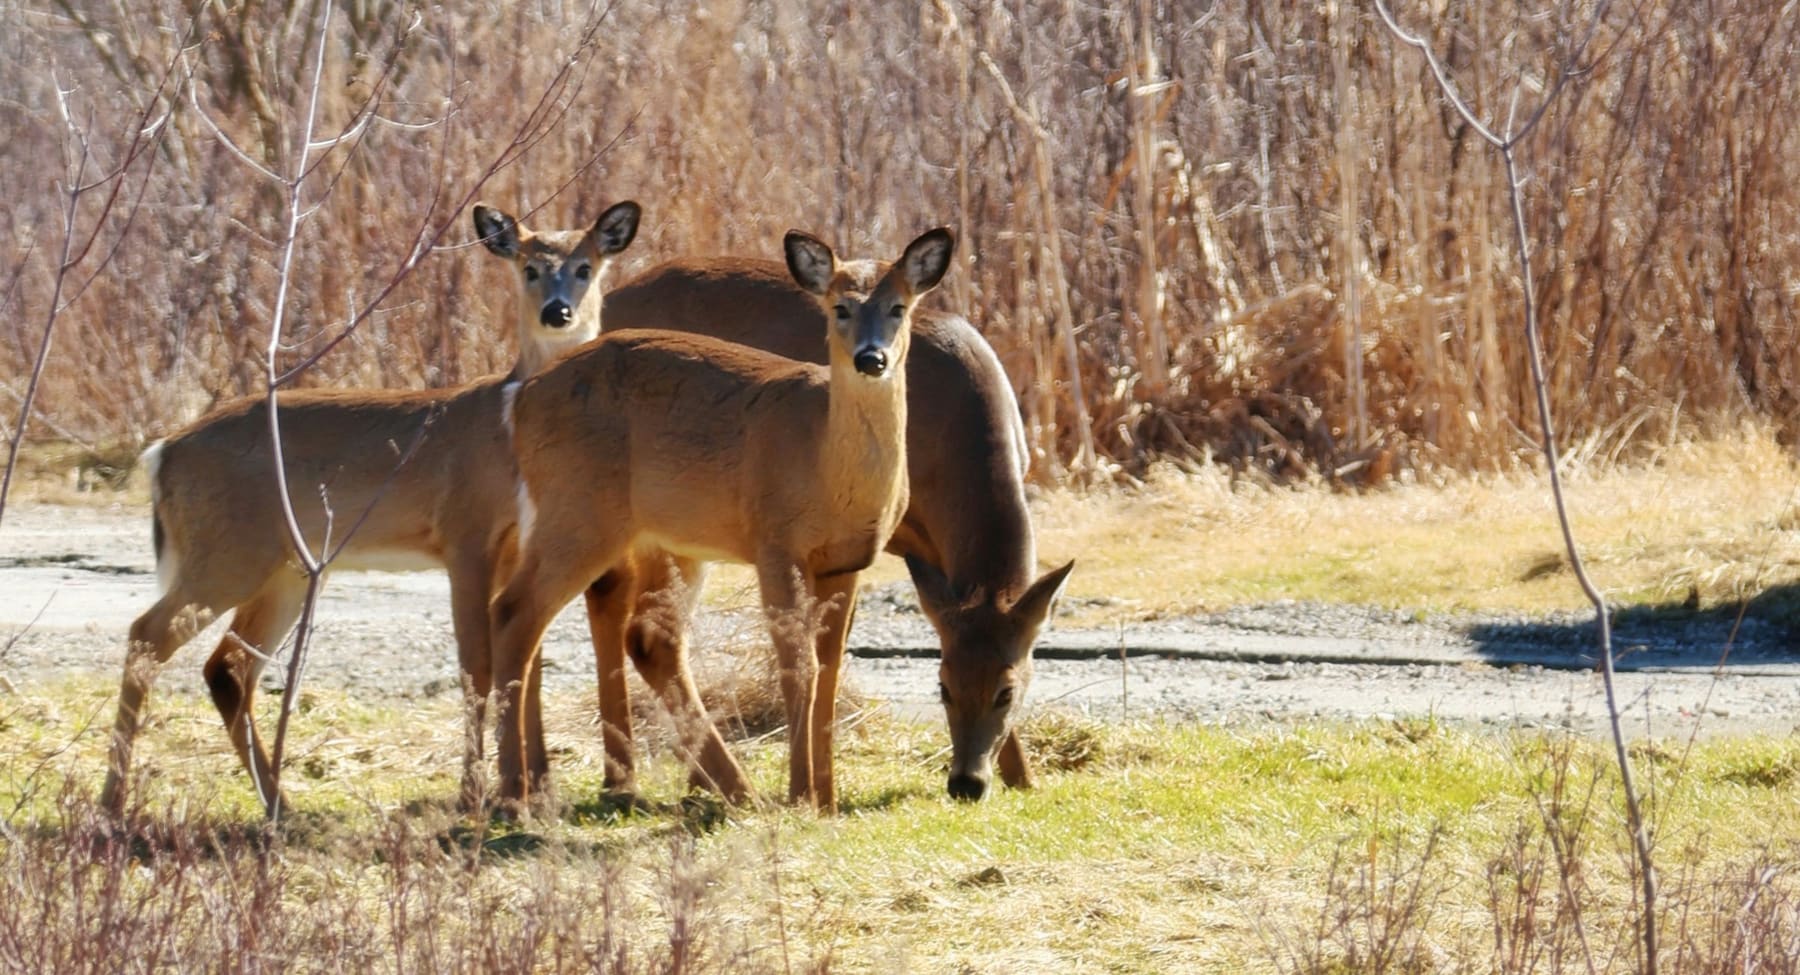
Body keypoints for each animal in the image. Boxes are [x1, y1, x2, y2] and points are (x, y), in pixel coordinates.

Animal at [97, 200, 747, 815]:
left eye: (585, 266)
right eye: (529, 267)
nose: (557, 311)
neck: (504, 428)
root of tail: (162, 453)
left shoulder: (516, 546)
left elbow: (526, 663)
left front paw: (536, 790)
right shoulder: (464, 533)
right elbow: (477, 664)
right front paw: (478, 794)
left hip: (282, 568)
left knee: (228, 667)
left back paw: (279, 803)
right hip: (227, 552)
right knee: (146, 636)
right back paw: (113, 804)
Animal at [488, 227, 956, 812]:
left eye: (898, 307)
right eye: (840, 307)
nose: (871, 358)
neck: (826, 468)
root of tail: (521, 398)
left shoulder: (847, 561)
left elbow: (829, 670)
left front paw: (826, 799)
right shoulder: (774, 542)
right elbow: (797, 665)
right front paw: (801, 794)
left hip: (658, 537)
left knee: (642, 636)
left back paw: (730, 789)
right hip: (580, 511)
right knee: (515, 614)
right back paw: (515, 795)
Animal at [581, 254, 1075, 805]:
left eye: (1008, 690)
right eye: (942, 686)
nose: (965, 783)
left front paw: (1022, 776)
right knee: (616, 604)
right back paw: (635, 780)